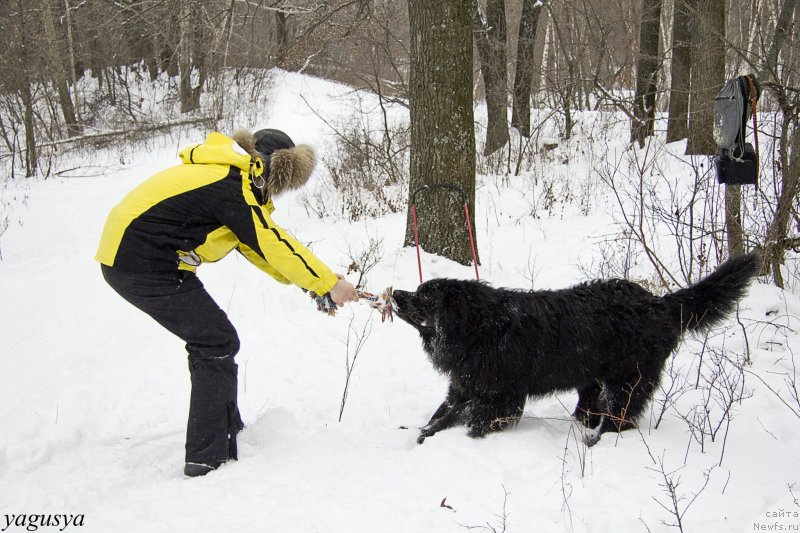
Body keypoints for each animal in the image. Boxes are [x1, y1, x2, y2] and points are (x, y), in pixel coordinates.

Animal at [396, 254, 760, 444]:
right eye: (417, 290)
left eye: (423, 297)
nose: (396, 293)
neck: (476, 330)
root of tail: (659, 303)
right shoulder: (464, 384)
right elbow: (442, 413)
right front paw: (422, 433)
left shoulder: (499, 395)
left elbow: (470, 420)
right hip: (593, 376)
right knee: (592, 405)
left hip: (628, 378)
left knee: (621, 413)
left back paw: (598, 439)